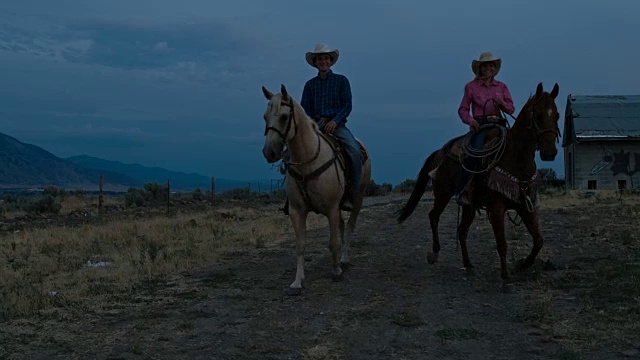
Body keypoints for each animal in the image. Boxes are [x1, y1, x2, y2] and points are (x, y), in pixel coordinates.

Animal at [260, 84, 372, 296]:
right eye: (265, 116)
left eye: (284, 117)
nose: (269, 152)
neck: (307, 161)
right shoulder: (297, 211)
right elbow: (300, 245)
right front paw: (297, 281)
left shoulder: (331, 208)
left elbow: (332, 241)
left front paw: (336, 271)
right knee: (342, 226)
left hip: (358, 198)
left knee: (350, 226)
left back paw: (344, 259)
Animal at [396, 82, 560, 282]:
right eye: (538, 116)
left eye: (557, 115)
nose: (550, 152)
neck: (516, 161)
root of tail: (440, 151)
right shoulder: (496, 207)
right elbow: (502, 243)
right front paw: (505, 277)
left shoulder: (525, 206)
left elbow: (538, 240)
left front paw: (523, 264)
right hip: (443, 193)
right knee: (434, 216)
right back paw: (434, 254)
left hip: (469, 207)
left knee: (461, 231)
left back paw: (468, 264)